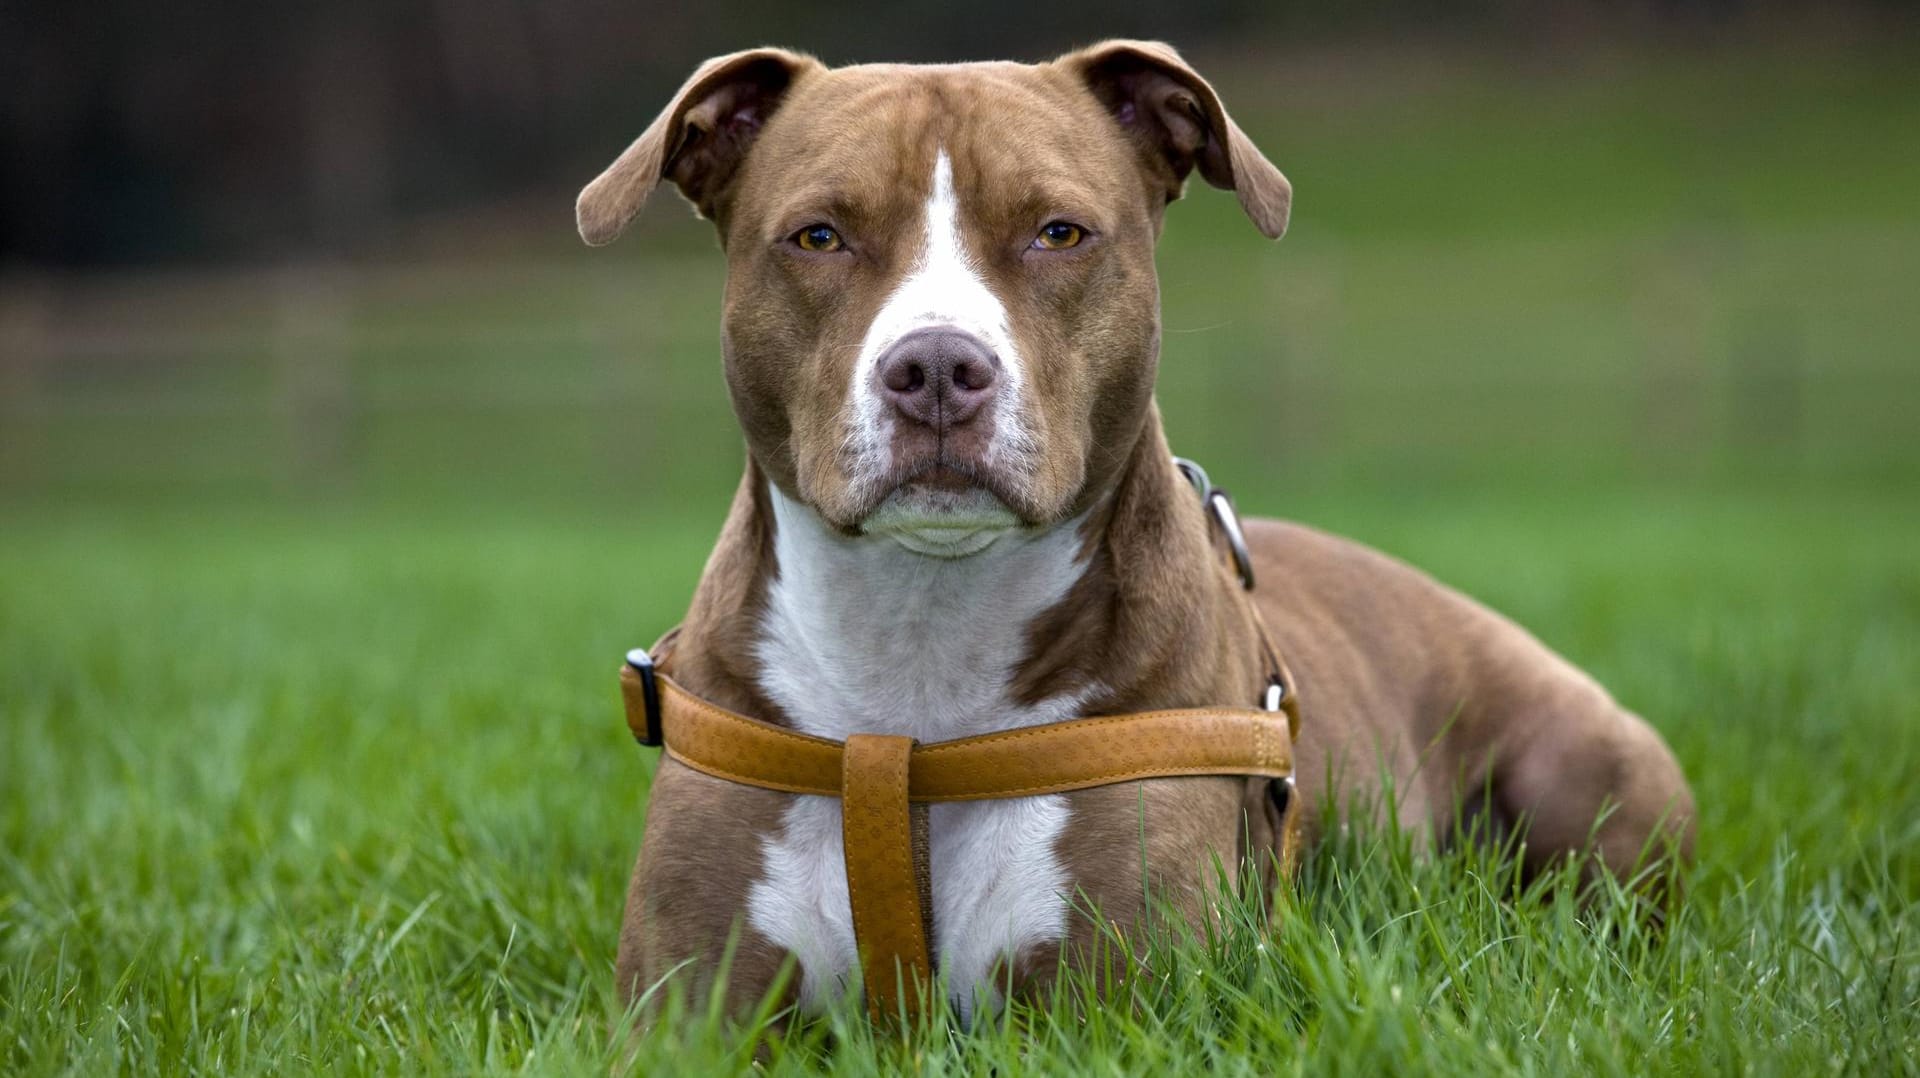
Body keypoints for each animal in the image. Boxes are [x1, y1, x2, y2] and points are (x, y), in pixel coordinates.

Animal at [572, 39, 1697, 1014]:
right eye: (818, 236)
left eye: (1059, 232)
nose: (935, 368)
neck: (922, 639)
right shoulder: (686, 1008)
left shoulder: (1122, 1001)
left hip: (1588, 766)